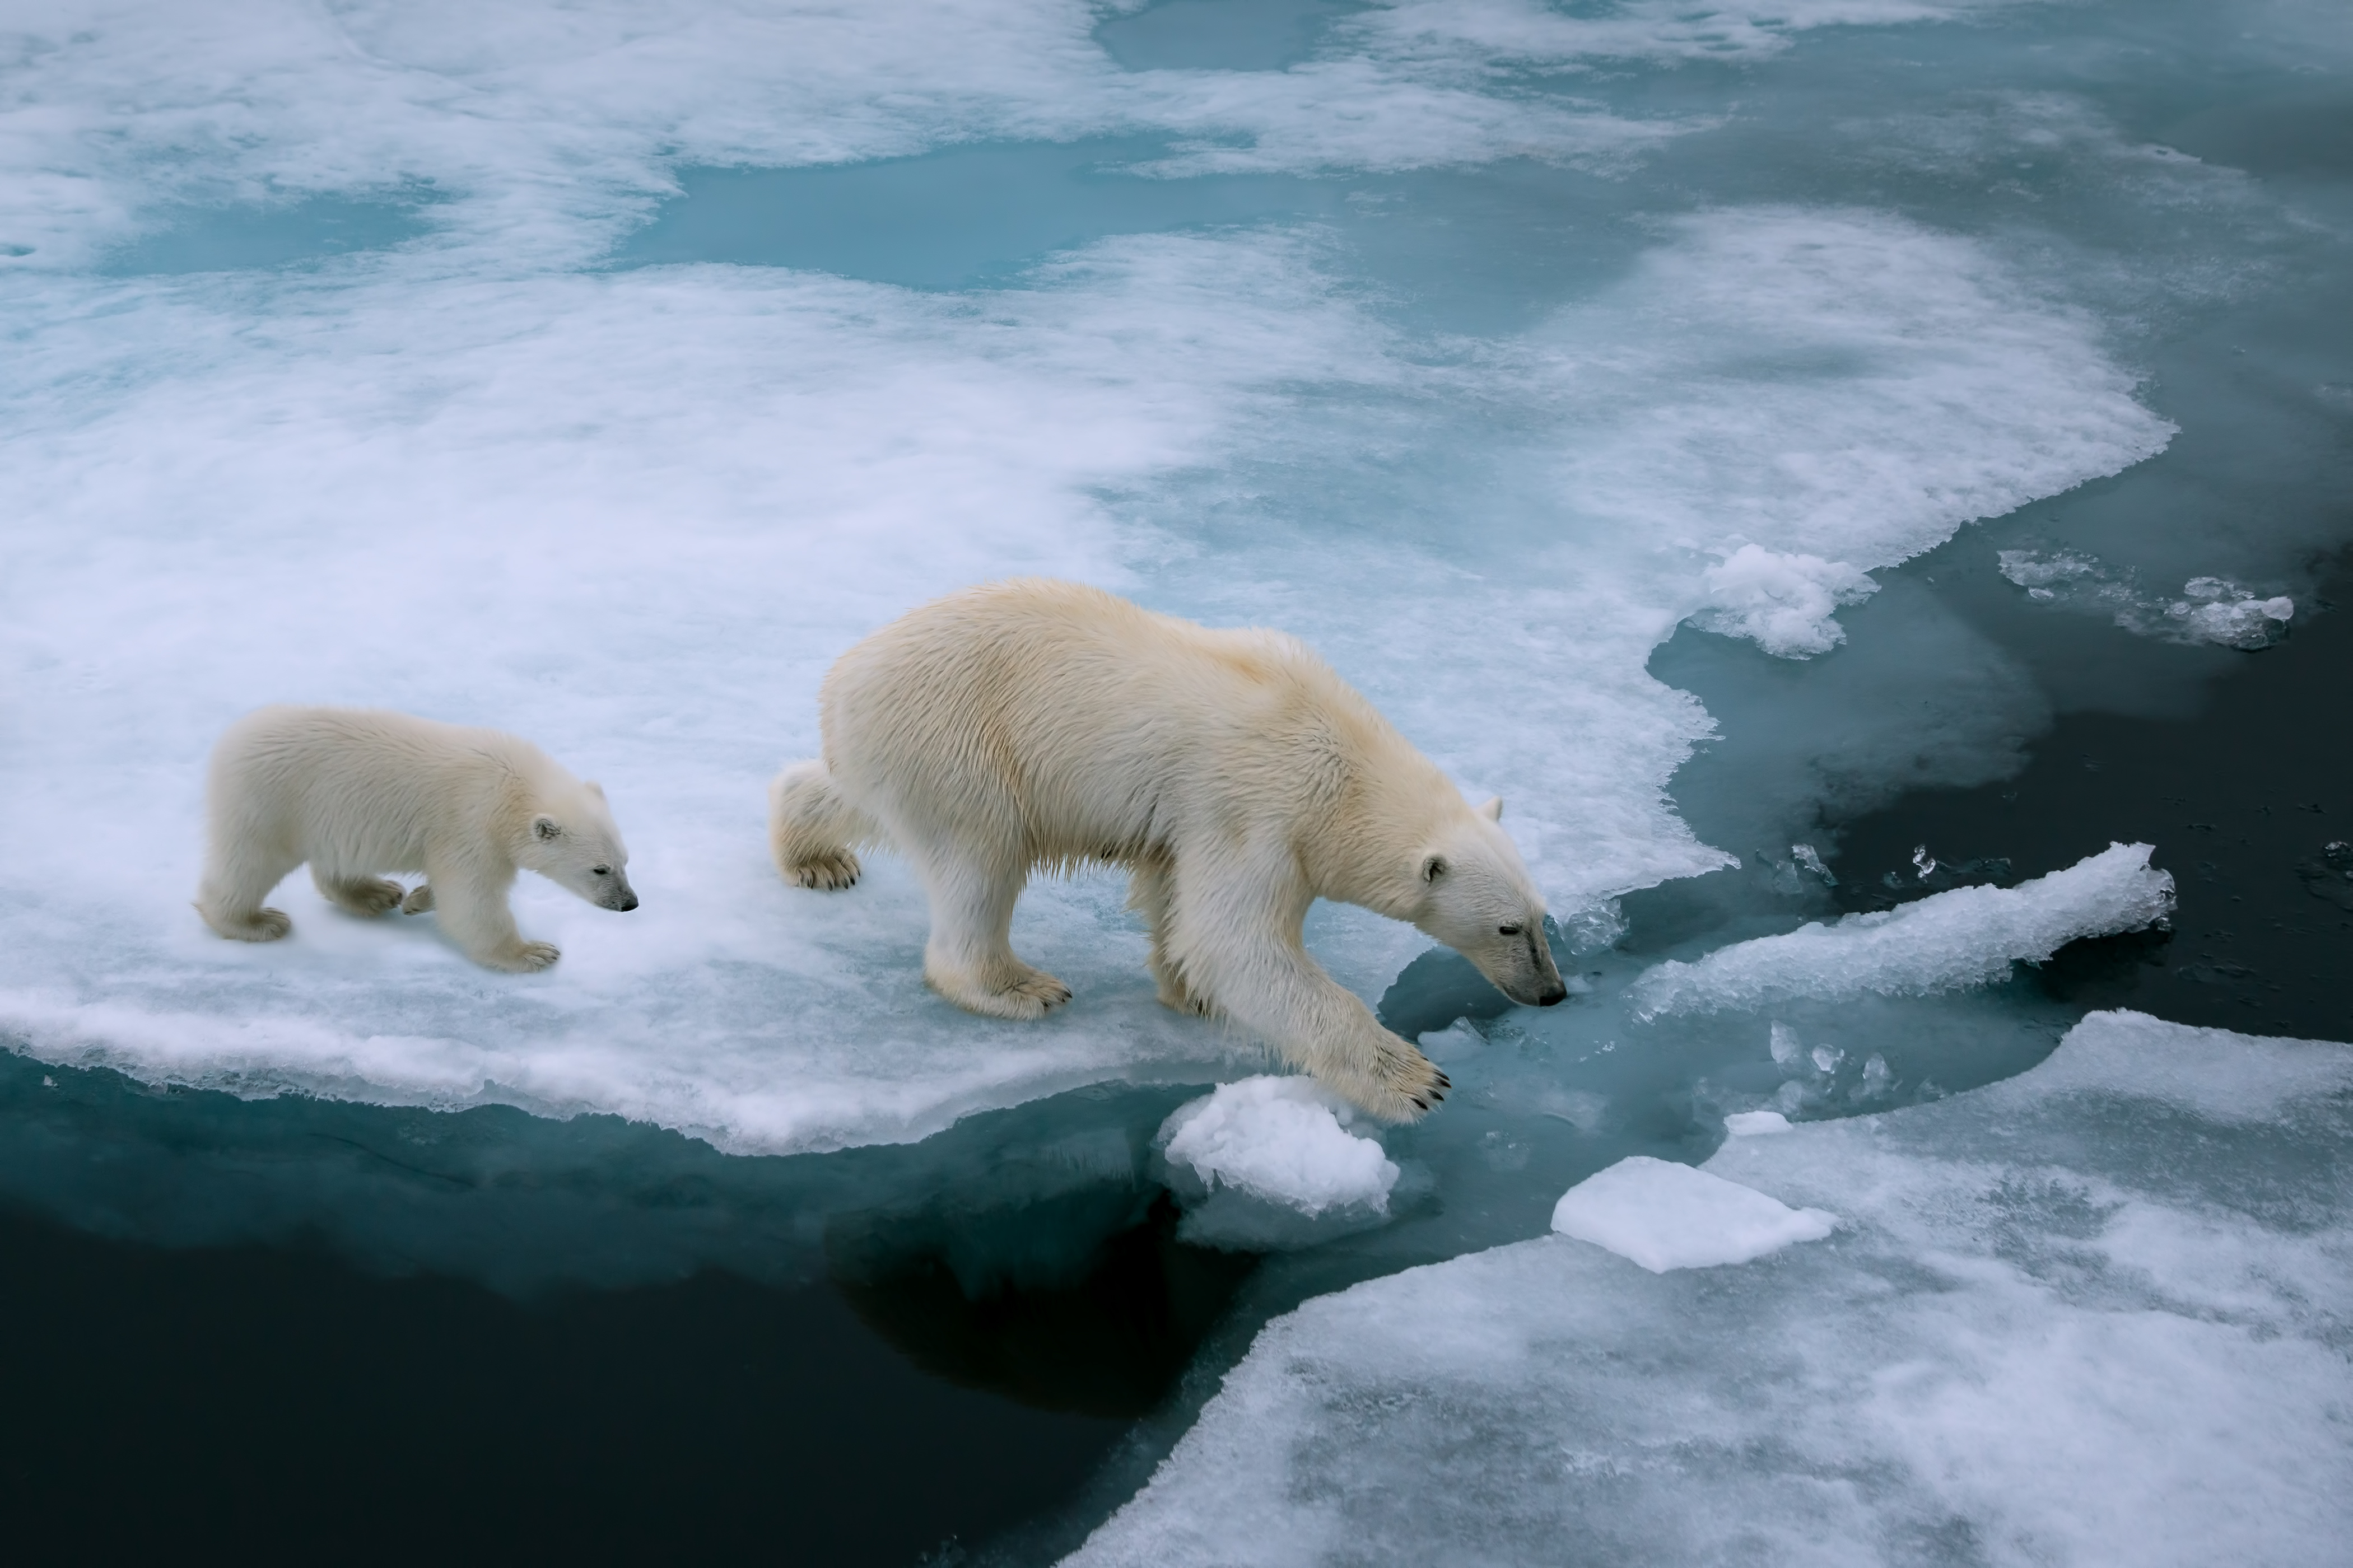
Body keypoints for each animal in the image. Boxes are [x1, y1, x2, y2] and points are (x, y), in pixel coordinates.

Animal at [771, 583, 1572, 1123]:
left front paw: (1188, 989)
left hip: (896, 750)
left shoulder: (1198, 818)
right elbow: (1234, 940)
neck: (1343, 759)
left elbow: (1177, 899)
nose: (1553, 993)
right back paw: (1018, 985)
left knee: (854, 796)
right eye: (1508, 927)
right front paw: (1414, 1080)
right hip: (961, 743)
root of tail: (843, 680)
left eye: (1544, 917)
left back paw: (813, 853)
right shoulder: (1261, 807)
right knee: (981, 860)